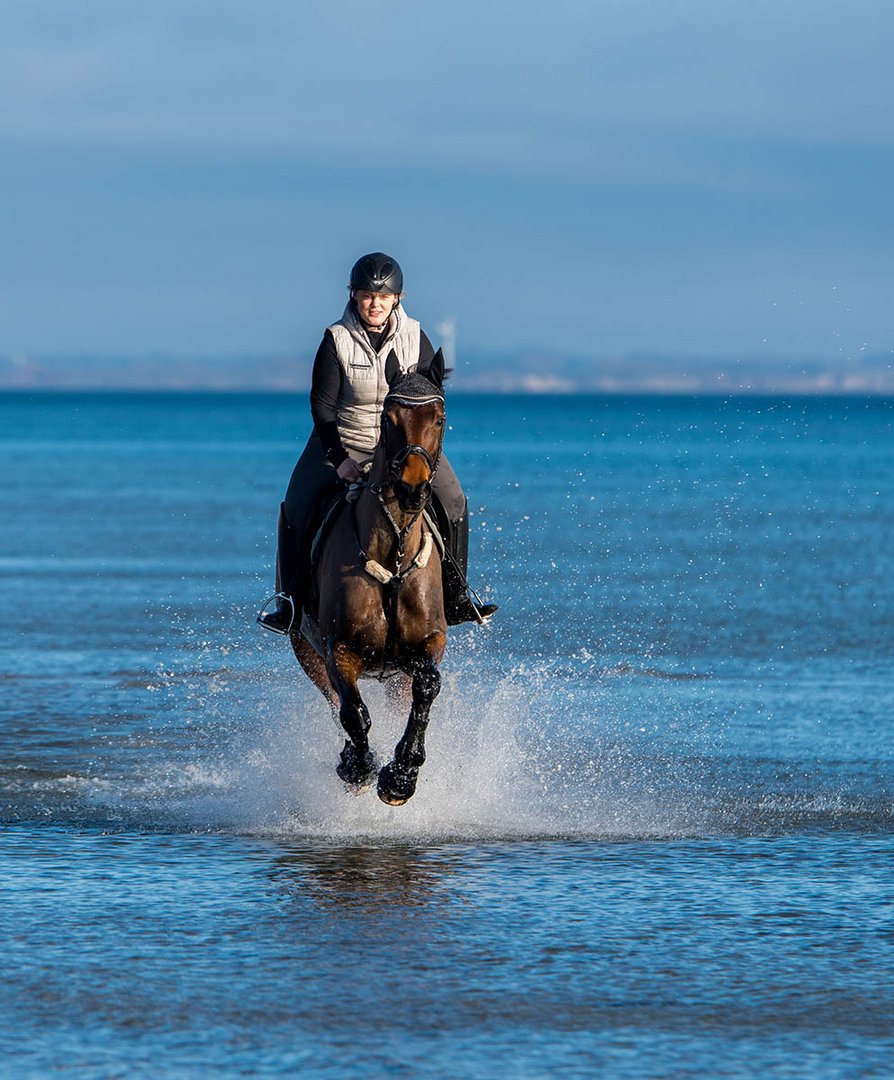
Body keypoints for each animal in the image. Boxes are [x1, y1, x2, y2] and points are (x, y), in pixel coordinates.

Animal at [289, 349, 451, 807]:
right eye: (389, 417)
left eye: (439, 418)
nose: (412, 489)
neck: (392, 555)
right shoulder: (338, 649)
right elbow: (352, 711)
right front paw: (361, 768)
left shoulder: (431, 642)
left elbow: (427, 688)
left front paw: (401, 775)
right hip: (306, 650)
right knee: (333, 704)